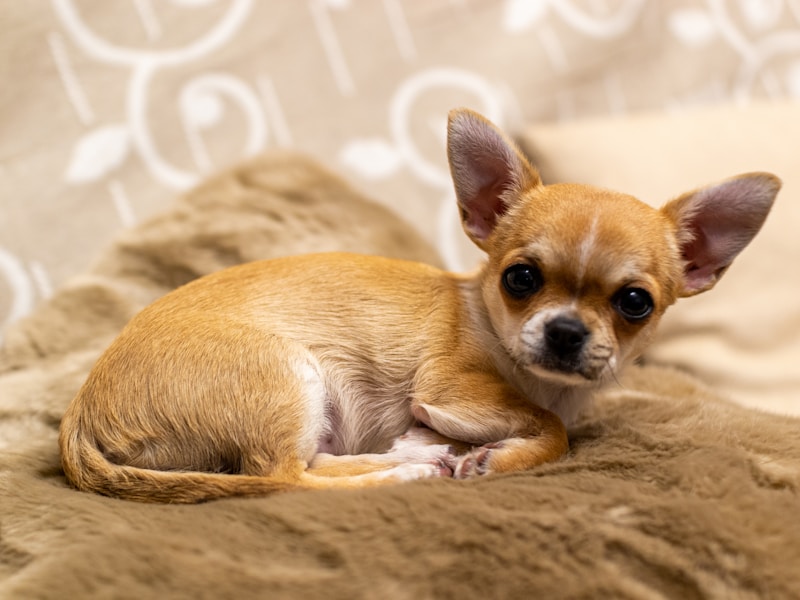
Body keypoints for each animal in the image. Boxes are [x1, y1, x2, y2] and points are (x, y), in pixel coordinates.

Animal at [61, 108, 780, 502]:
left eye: (635, 303)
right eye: (521, 279)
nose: (566, 332)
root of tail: (78, 416)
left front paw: (460, 447)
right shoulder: (450, 387)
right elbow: (554, 430)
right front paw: (500, 455)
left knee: (313, 463)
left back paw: (409, 457)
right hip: (290, 377)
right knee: (283, 477)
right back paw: (404, 475)